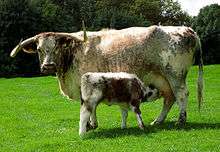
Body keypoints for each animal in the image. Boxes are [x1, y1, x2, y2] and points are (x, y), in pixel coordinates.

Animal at [9, 25, 203, 126]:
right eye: (39, 49)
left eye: (57, 47)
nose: (48, 66)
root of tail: (187, 29)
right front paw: (92, 124)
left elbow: (89, 106)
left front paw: (90, 125)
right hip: (160, 78)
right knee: (169, 98)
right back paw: (158, 121)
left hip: (175, 74)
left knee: (181, 94)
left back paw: (181, 120)